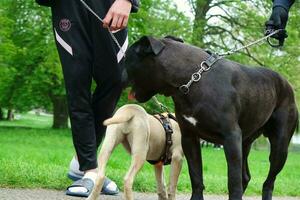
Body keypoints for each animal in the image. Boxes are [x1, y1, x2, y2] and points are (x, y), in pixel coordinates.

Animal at [123, 36, 298, 200]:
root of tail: (287, 85)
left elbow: (233, 180)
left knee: (269, 181)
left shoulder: (231, 138)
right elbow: (196, 175)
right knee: (246, 176)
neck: (192, 80)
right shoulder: (190, 138)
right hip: (245, 142)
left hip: (280, 146)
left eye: (126, 57)